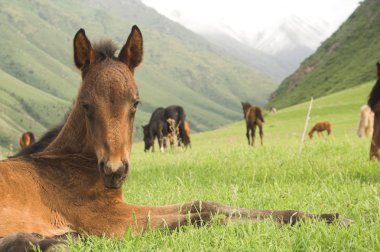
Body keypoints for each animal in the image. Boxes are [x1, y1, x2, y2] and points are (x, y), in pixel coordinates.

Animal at [0, 25, 350, 250]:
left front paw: (327, 217)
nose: (114, 171)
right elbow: (204, 217)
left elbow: (205, 203)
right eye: (85, 105)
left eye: (135, 103)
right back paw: (51, 241)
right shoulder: (106, 220)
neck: (67, 164)